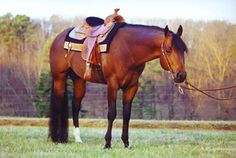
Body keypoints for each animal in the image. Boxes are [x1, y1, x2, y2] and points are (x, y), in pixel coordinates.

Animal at [48, 23, 187, 148]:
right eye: (168, 49)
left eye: (184, 50)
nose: (181, 75)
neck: (127, 49)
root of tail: (58, 37)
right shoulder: (112, 84)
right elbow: (112, 113)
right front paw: (107, 143)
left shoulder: (131, 87)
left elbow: (126, 114)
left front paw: (126, 143)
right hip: (59, 78)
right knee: (59, 105)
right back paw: (58, 139)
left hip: (79, 80)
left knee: (75, 106)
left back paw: (78, 139)